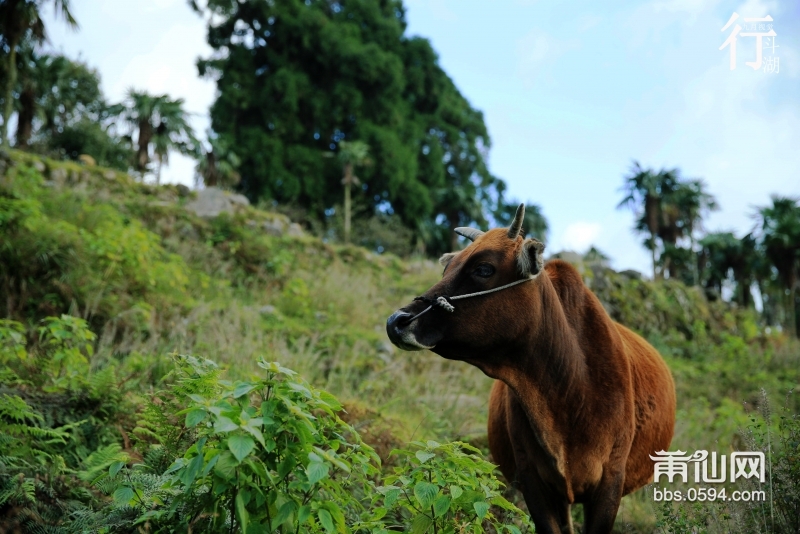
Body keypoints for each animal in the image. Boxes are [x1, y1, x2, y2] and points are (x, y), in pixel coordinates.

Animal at [388, 206, 676, 534]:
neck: (571, 390)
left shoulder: (610, 481)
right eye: (447, 268)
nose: (397, 321)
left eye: (483, 269)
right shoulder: (533, 483)